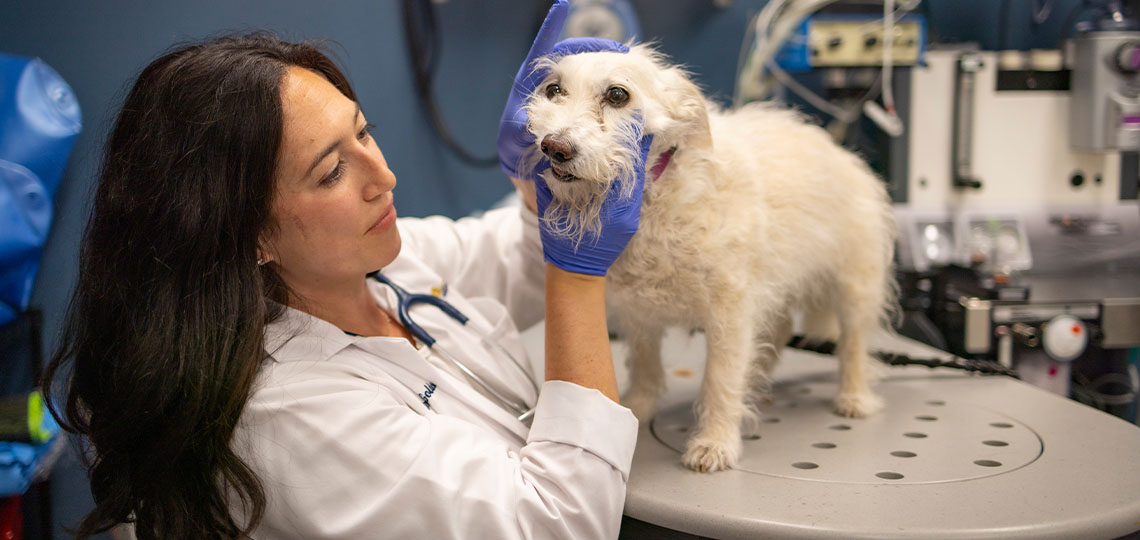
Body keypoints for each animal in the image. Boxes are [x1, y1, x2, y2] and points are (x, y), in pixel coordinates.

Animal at [522, 44, 893, 469]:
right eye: (553, 90)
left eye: (617, 95)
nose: (555, 147)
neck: (656, 198)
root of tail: (843, 153)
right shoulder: (637, 313)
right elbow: (646, 365)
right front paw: (636, 408)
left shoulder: (729, 313)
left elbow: (720, 379)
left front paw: (715, 442)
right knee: (778, 329)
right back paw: (759, 372)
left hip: (854, 287)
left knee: (853, 343)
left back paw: (853, 396)